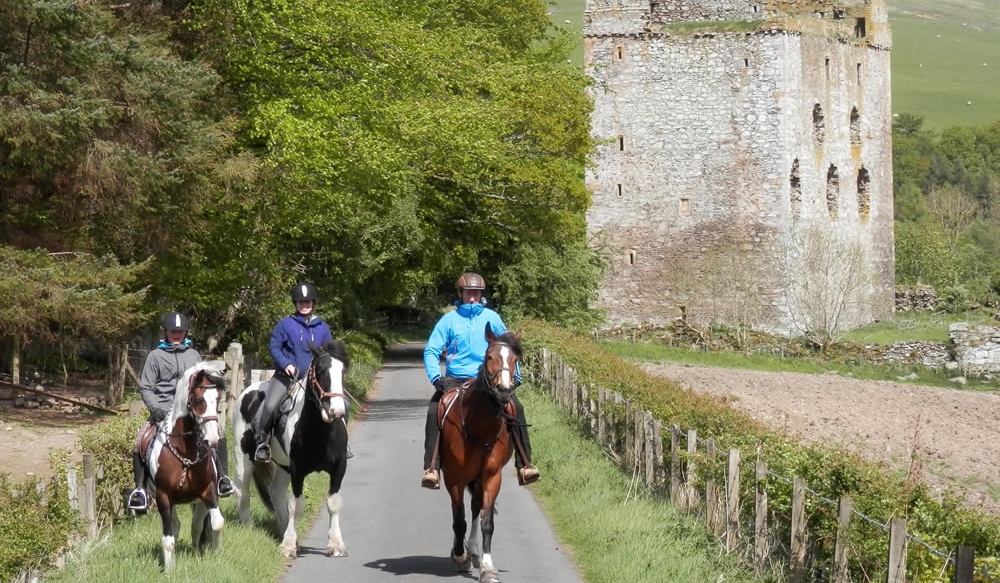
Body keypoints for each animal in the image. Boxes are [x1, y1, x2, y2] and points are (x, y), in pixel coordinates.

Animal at [141, 362, 227, 572]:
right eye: (198, 399)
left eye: (217, 399)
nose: (212, 439)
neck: (185, 453)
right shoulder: (163, 497)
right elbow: (167, 538)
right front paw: (169, 570)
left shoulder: (208, 491)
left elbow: (217, 523)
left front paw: (216, 553)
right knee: (175, 527)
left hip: (198, 501)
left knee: (195, 525)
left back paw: (196, 550)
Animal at [232, 340, 350, 560]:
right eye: (321, 371)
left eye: (343, 372)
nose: (336, 412)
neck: (319, 431)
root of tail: (248, 391)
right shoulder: (298, 469)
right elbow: (296, 505)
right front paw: (288, 546)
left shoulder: (339, 468)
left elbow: (334, 503)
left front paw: (336, 545)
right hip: (244, 457)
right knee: (242, 490)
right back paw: (250, 526)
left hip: (283, 467)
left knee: (276, 493)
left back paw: (287, 531)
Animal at [438, 326, 524, 580]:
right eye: (489, 357)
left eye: (515, 360)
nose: (504, 391)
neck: (478, 425)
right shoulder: (454, 478)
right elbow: (458, 520)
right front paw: (459, 556)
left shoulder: (491, 476)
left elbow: (486, 521)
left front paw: (487, 567)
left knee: (476, 507)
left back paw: (474, 552)